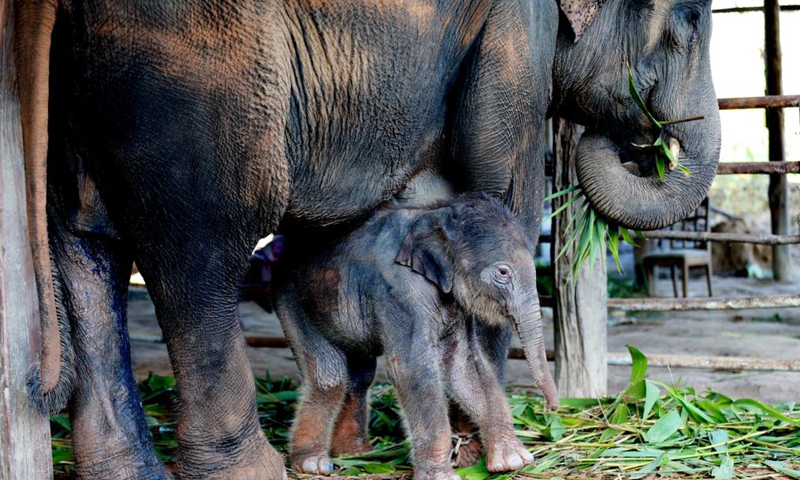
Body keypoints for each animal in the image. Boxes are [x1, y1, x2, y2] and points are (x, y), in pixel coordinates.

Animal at [272, 195, 560, 480]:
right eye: (503, 273)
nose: (553, 408)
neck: (435, 213)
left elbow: (463, 366)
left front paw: (513, 461)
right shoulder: (400, 293)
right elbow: (412, 370)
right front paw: (441, 477)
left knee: (359, 375)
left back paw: (355, 454)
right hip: (292, 302)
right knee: (329, 377)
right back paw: (313, 464)